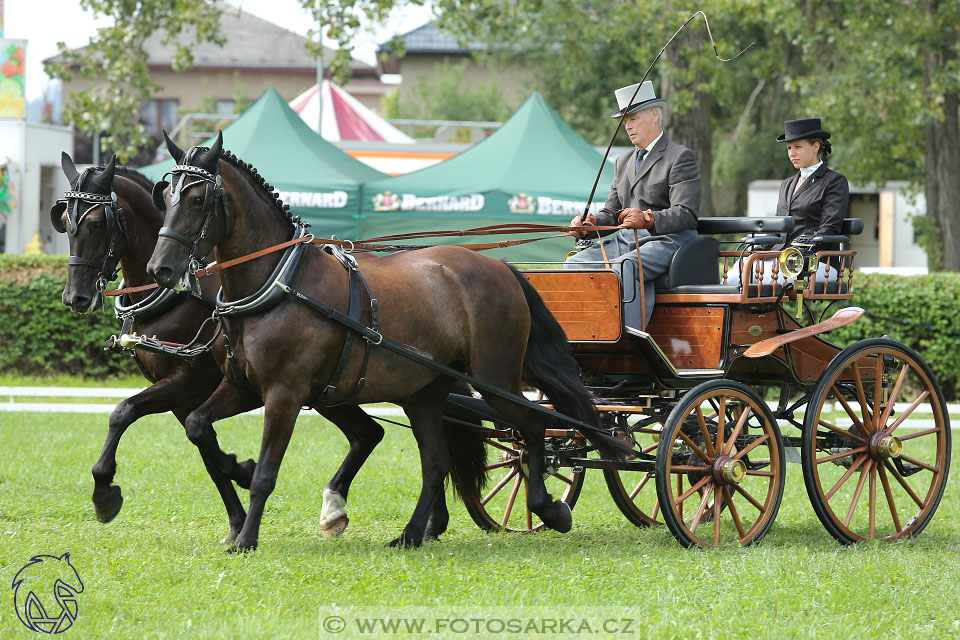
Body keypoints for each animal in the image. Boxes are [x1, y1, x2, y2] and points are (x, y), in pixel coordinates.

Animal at [142, 134, 624, 552]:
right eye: (165, 196)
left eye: (198, 199)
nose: (160, 269)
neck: (279, 281)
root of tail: (501, 267)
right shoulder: (243, 386)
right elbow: (197, 425)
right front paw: (236, 471)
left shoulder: (284, 393)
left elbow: (266, 472)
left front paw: (246, 537)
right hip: (426, 393)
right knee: (437, 461)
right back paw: (411, 534)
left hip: (495, 379)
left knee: (533, 427)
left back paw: (549, 509)